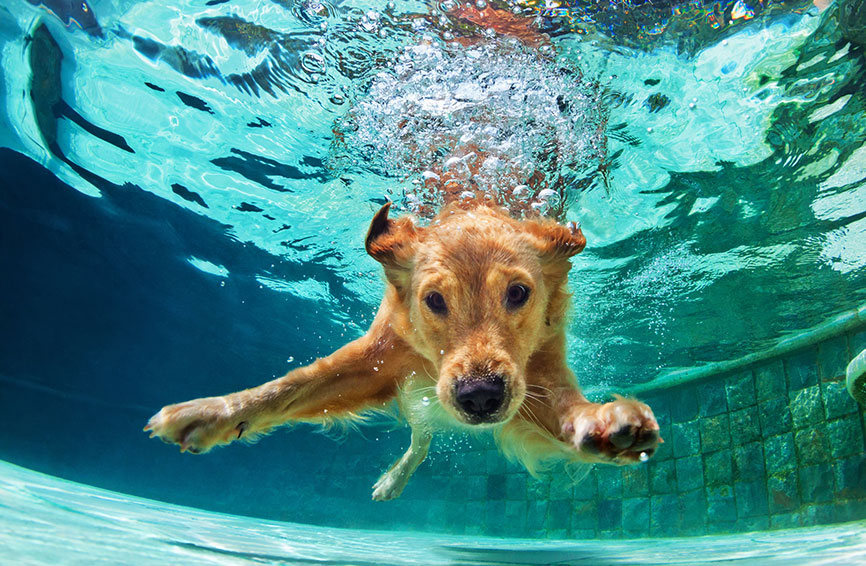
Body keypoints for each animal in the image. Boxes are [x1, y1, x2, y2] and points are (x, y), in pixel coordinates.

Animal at [145, 200, 660, 502]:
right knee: (420, 437)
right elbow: (289, 387)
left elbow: (568, 409)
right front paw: (211, 413)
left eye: (518, 293)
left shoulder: (538, 373)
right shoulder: (377, 359)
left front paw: (605, 423)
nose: (480, 396)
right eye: (434, 300)